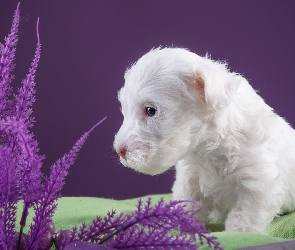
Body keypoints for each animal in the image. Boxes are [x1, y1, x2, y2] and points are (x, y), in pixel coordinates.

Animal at [114, 47, 295, 232]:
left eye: (150, 110)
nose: (119, 150)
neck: (209, 146)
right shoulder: (190, 179)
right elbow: (187, 204)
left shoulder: (258, 184)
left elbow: (244, 218)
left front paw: (236, 231)